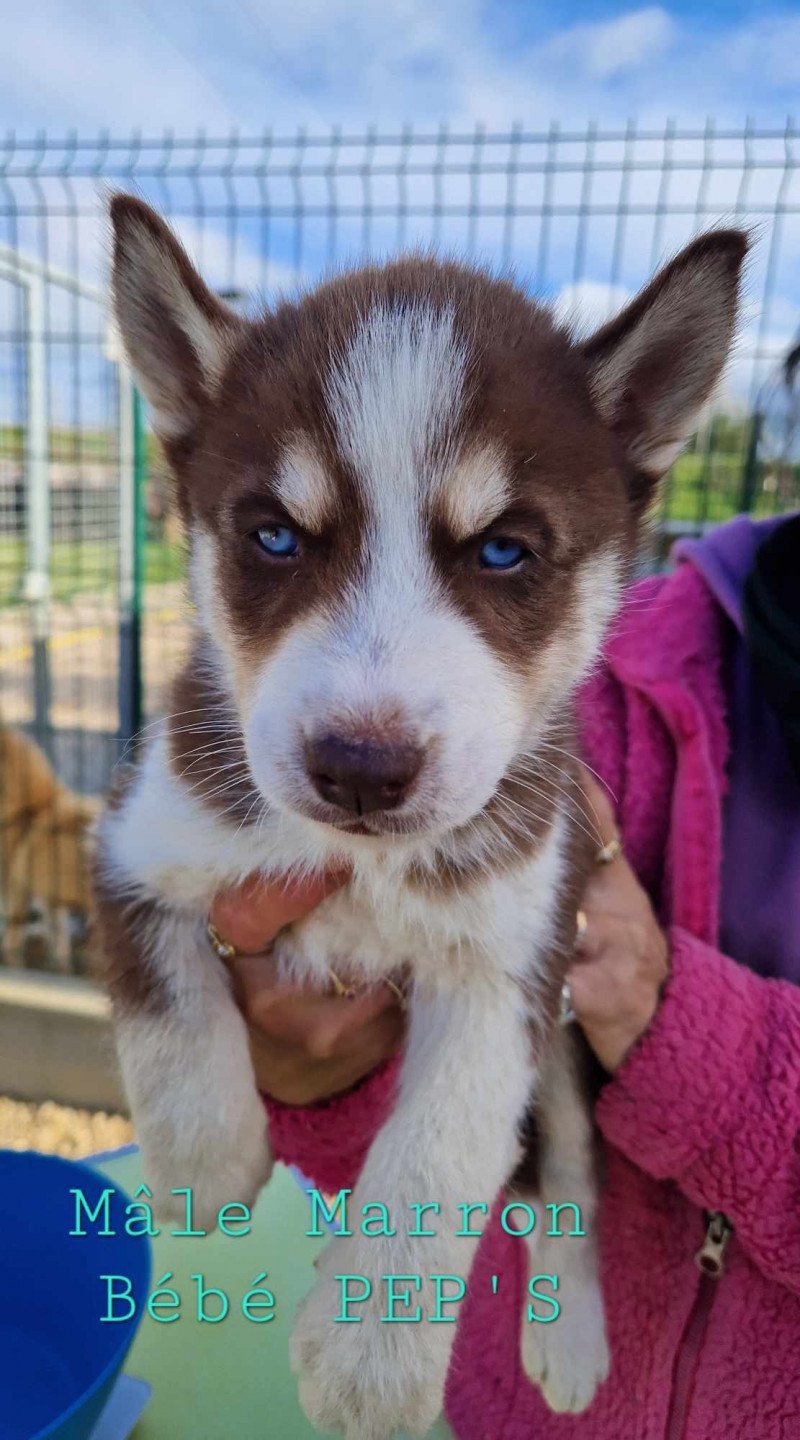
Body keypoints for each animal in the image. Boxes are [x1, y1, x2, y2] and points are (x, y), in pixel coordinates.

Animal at [94, 200, 748, 1440]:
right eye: (273, 536)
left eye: (502, 550)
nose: (358, 768)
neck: (360, 862)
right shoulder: (135, 844)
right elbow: (169, 1010)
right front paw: (206, 1166)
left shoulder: (515, 957)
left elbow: (441, 1150)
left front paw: (374, 1353)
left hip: (575, 1042)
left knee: (569, 1177)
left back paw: (567, 1337)